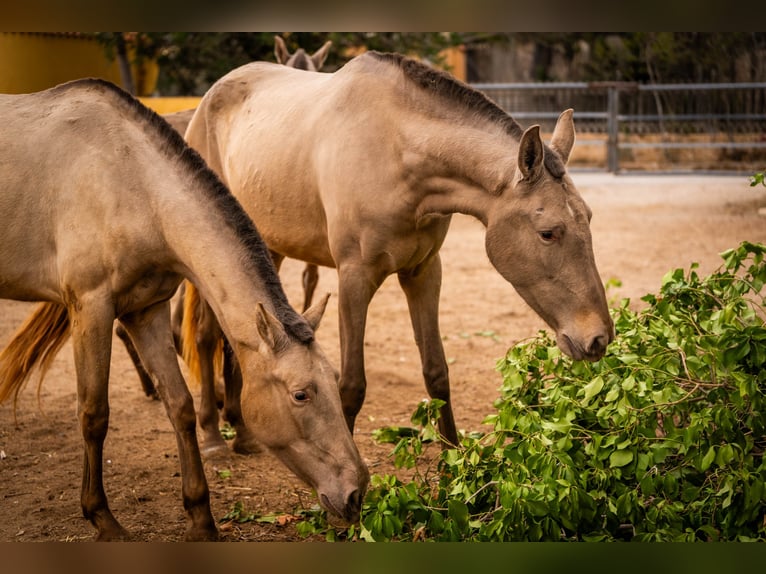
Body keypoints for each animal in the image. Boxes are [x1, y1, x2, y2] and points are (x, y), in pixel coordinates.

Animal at [0, 78, 368, 541]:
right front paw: (103, 518)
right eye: (301, 394)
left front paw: (201, 517)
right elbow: (94, 414)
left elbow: (179, 406)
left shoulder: (146, 310)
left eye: (334, 381)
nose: (356, 492)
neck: (128, 181)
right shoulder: (91, 308)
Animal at [181, 50, 616, 448]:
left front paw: (454, 464)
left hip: (268, 247)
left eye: (591, 218)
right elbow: (351, 386)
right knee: (206, 334)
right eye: (548, 233)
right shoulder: (354, 278)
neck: (395, 150)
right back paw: (213, 433)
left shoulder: (423, 272)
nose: (599, 339)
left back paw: (241, 430)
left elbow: (436, 372)